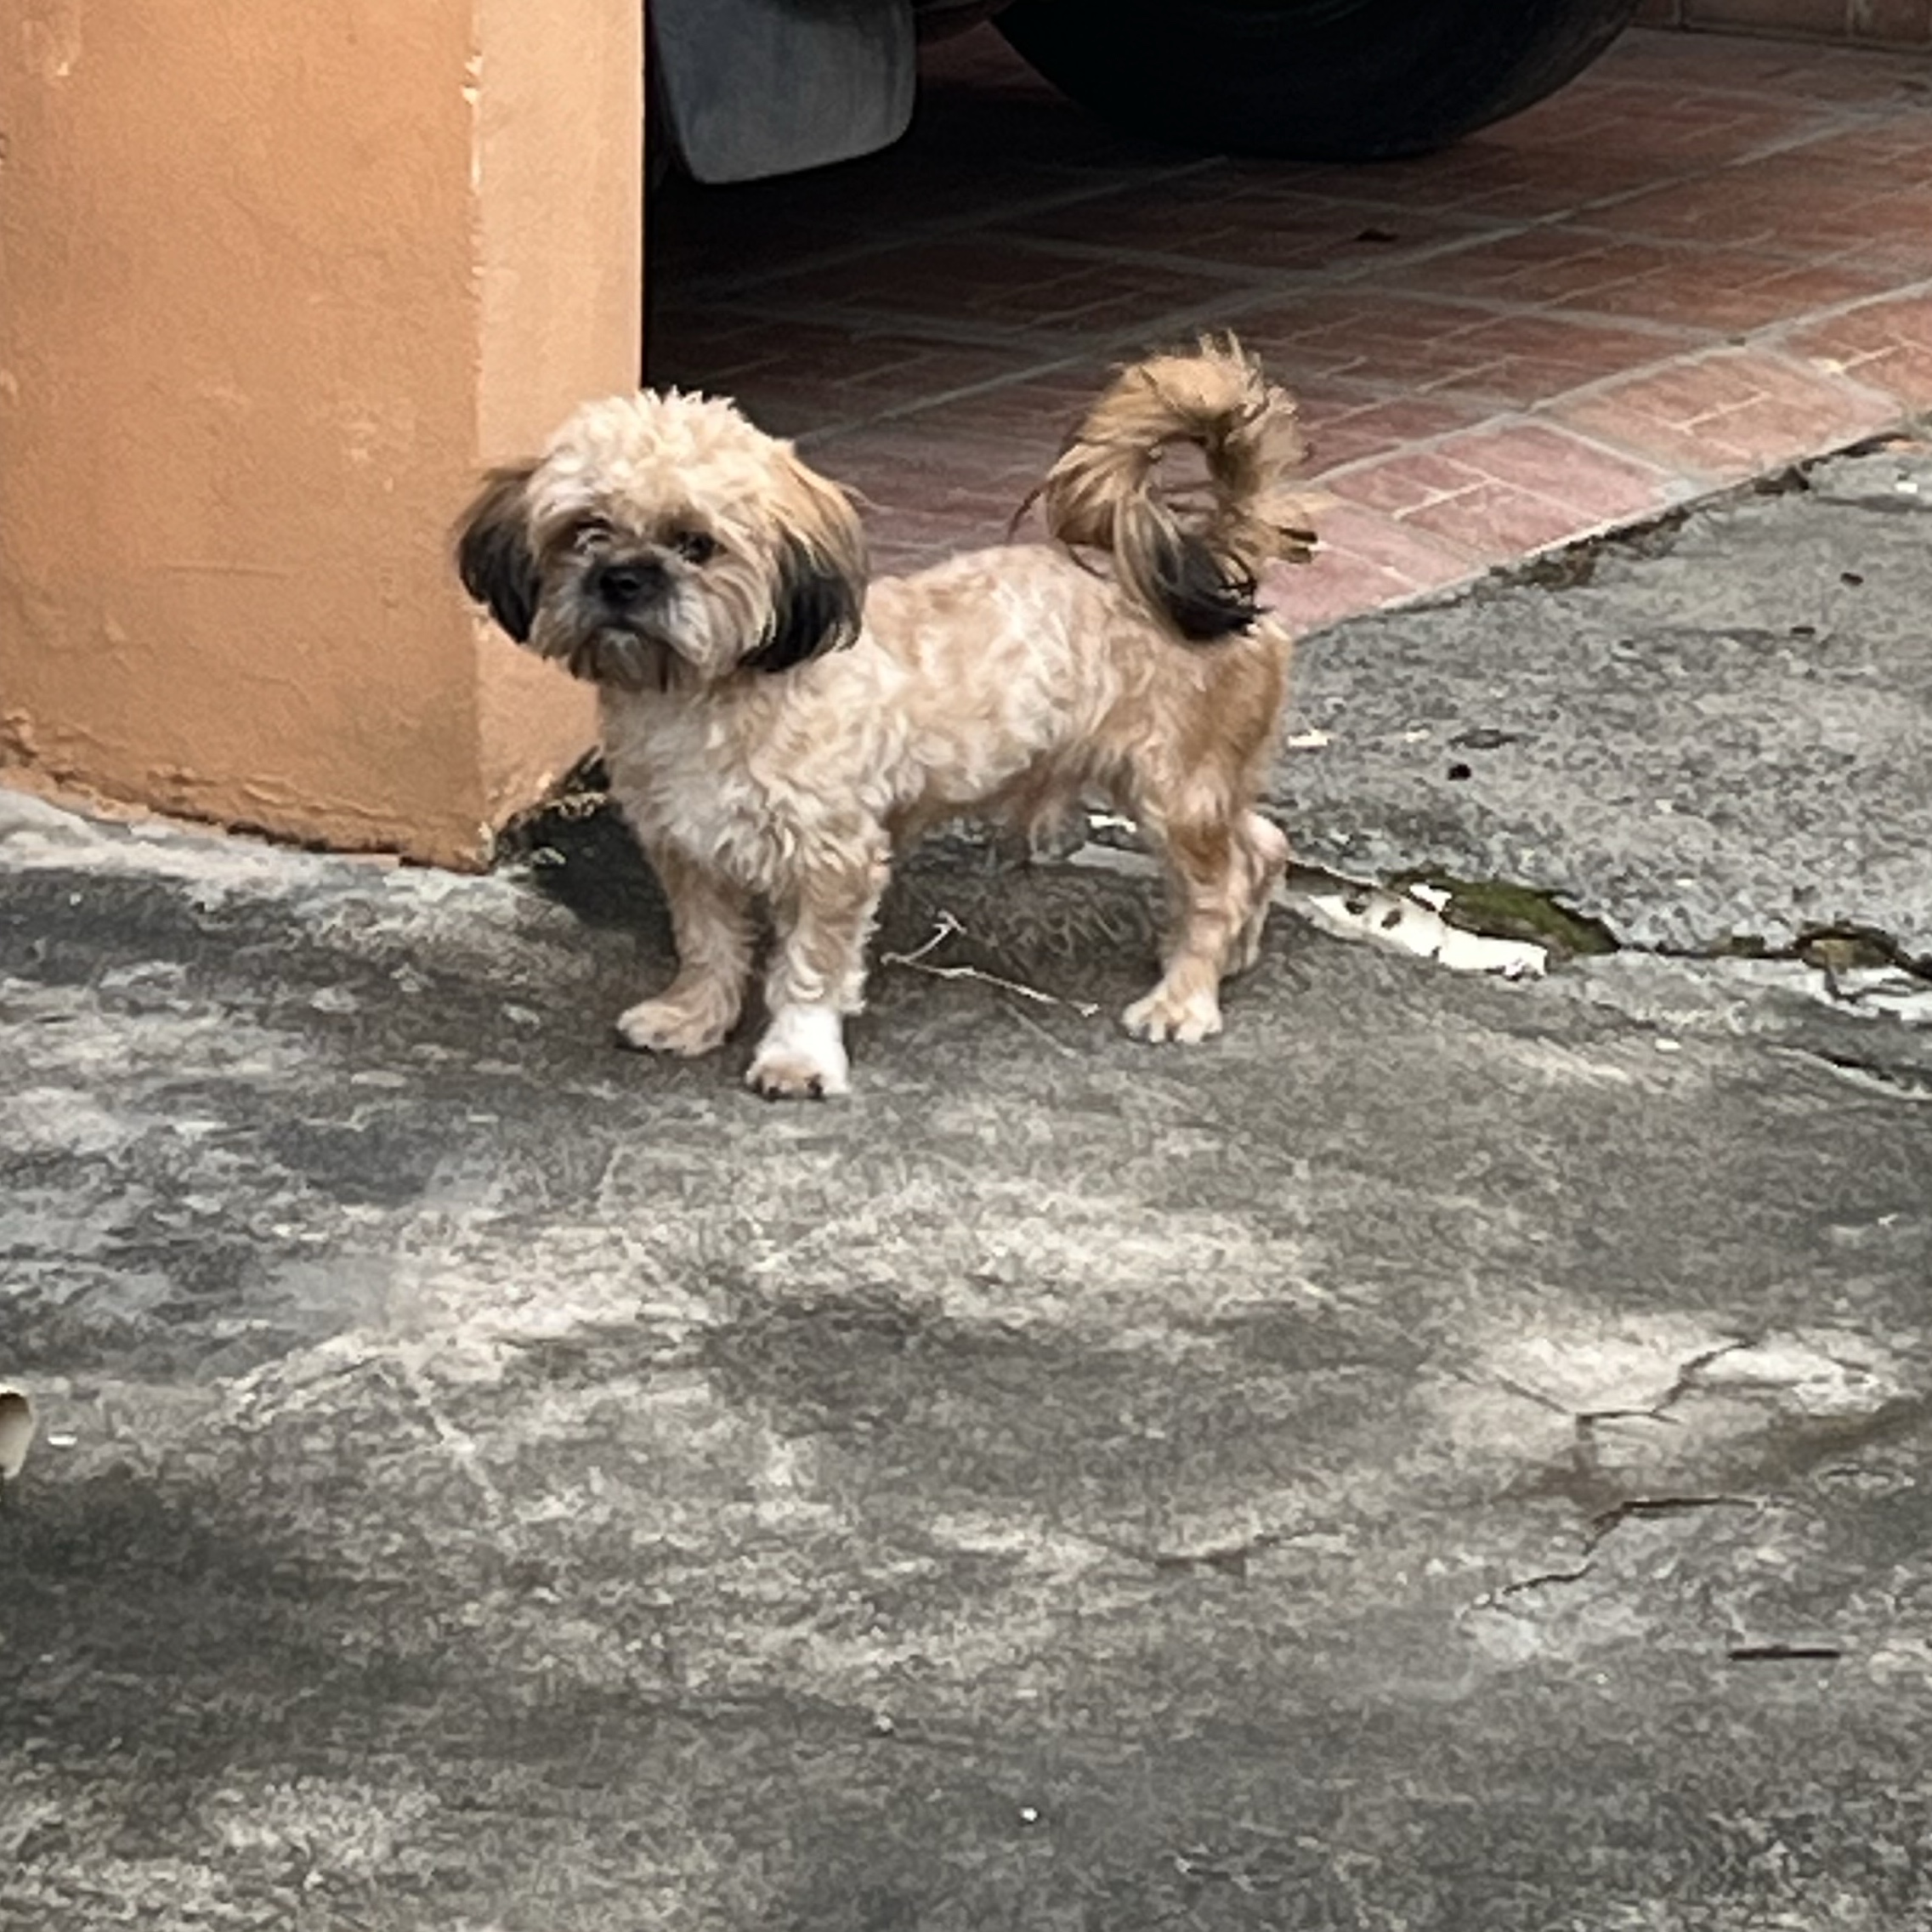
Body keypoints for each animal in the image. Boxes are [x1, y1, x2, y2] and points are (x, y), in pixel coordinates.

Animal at [456, 336, 1313, 1105]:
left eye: (696, 543)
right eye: (584, 530)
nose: (622, 578)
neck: (709, 695)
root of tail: (1209, 557)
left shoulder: (831, 860)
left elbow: (808, 969)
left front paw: (797, 1058)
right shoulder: (689, 849)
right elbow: (707, 944)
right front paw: (692, 1015)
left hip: (1174, 786)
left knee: (1218, 882)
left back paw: (1185, 995)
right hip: (1199, 785)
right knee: (1261, 846)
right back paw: (1232, 953)